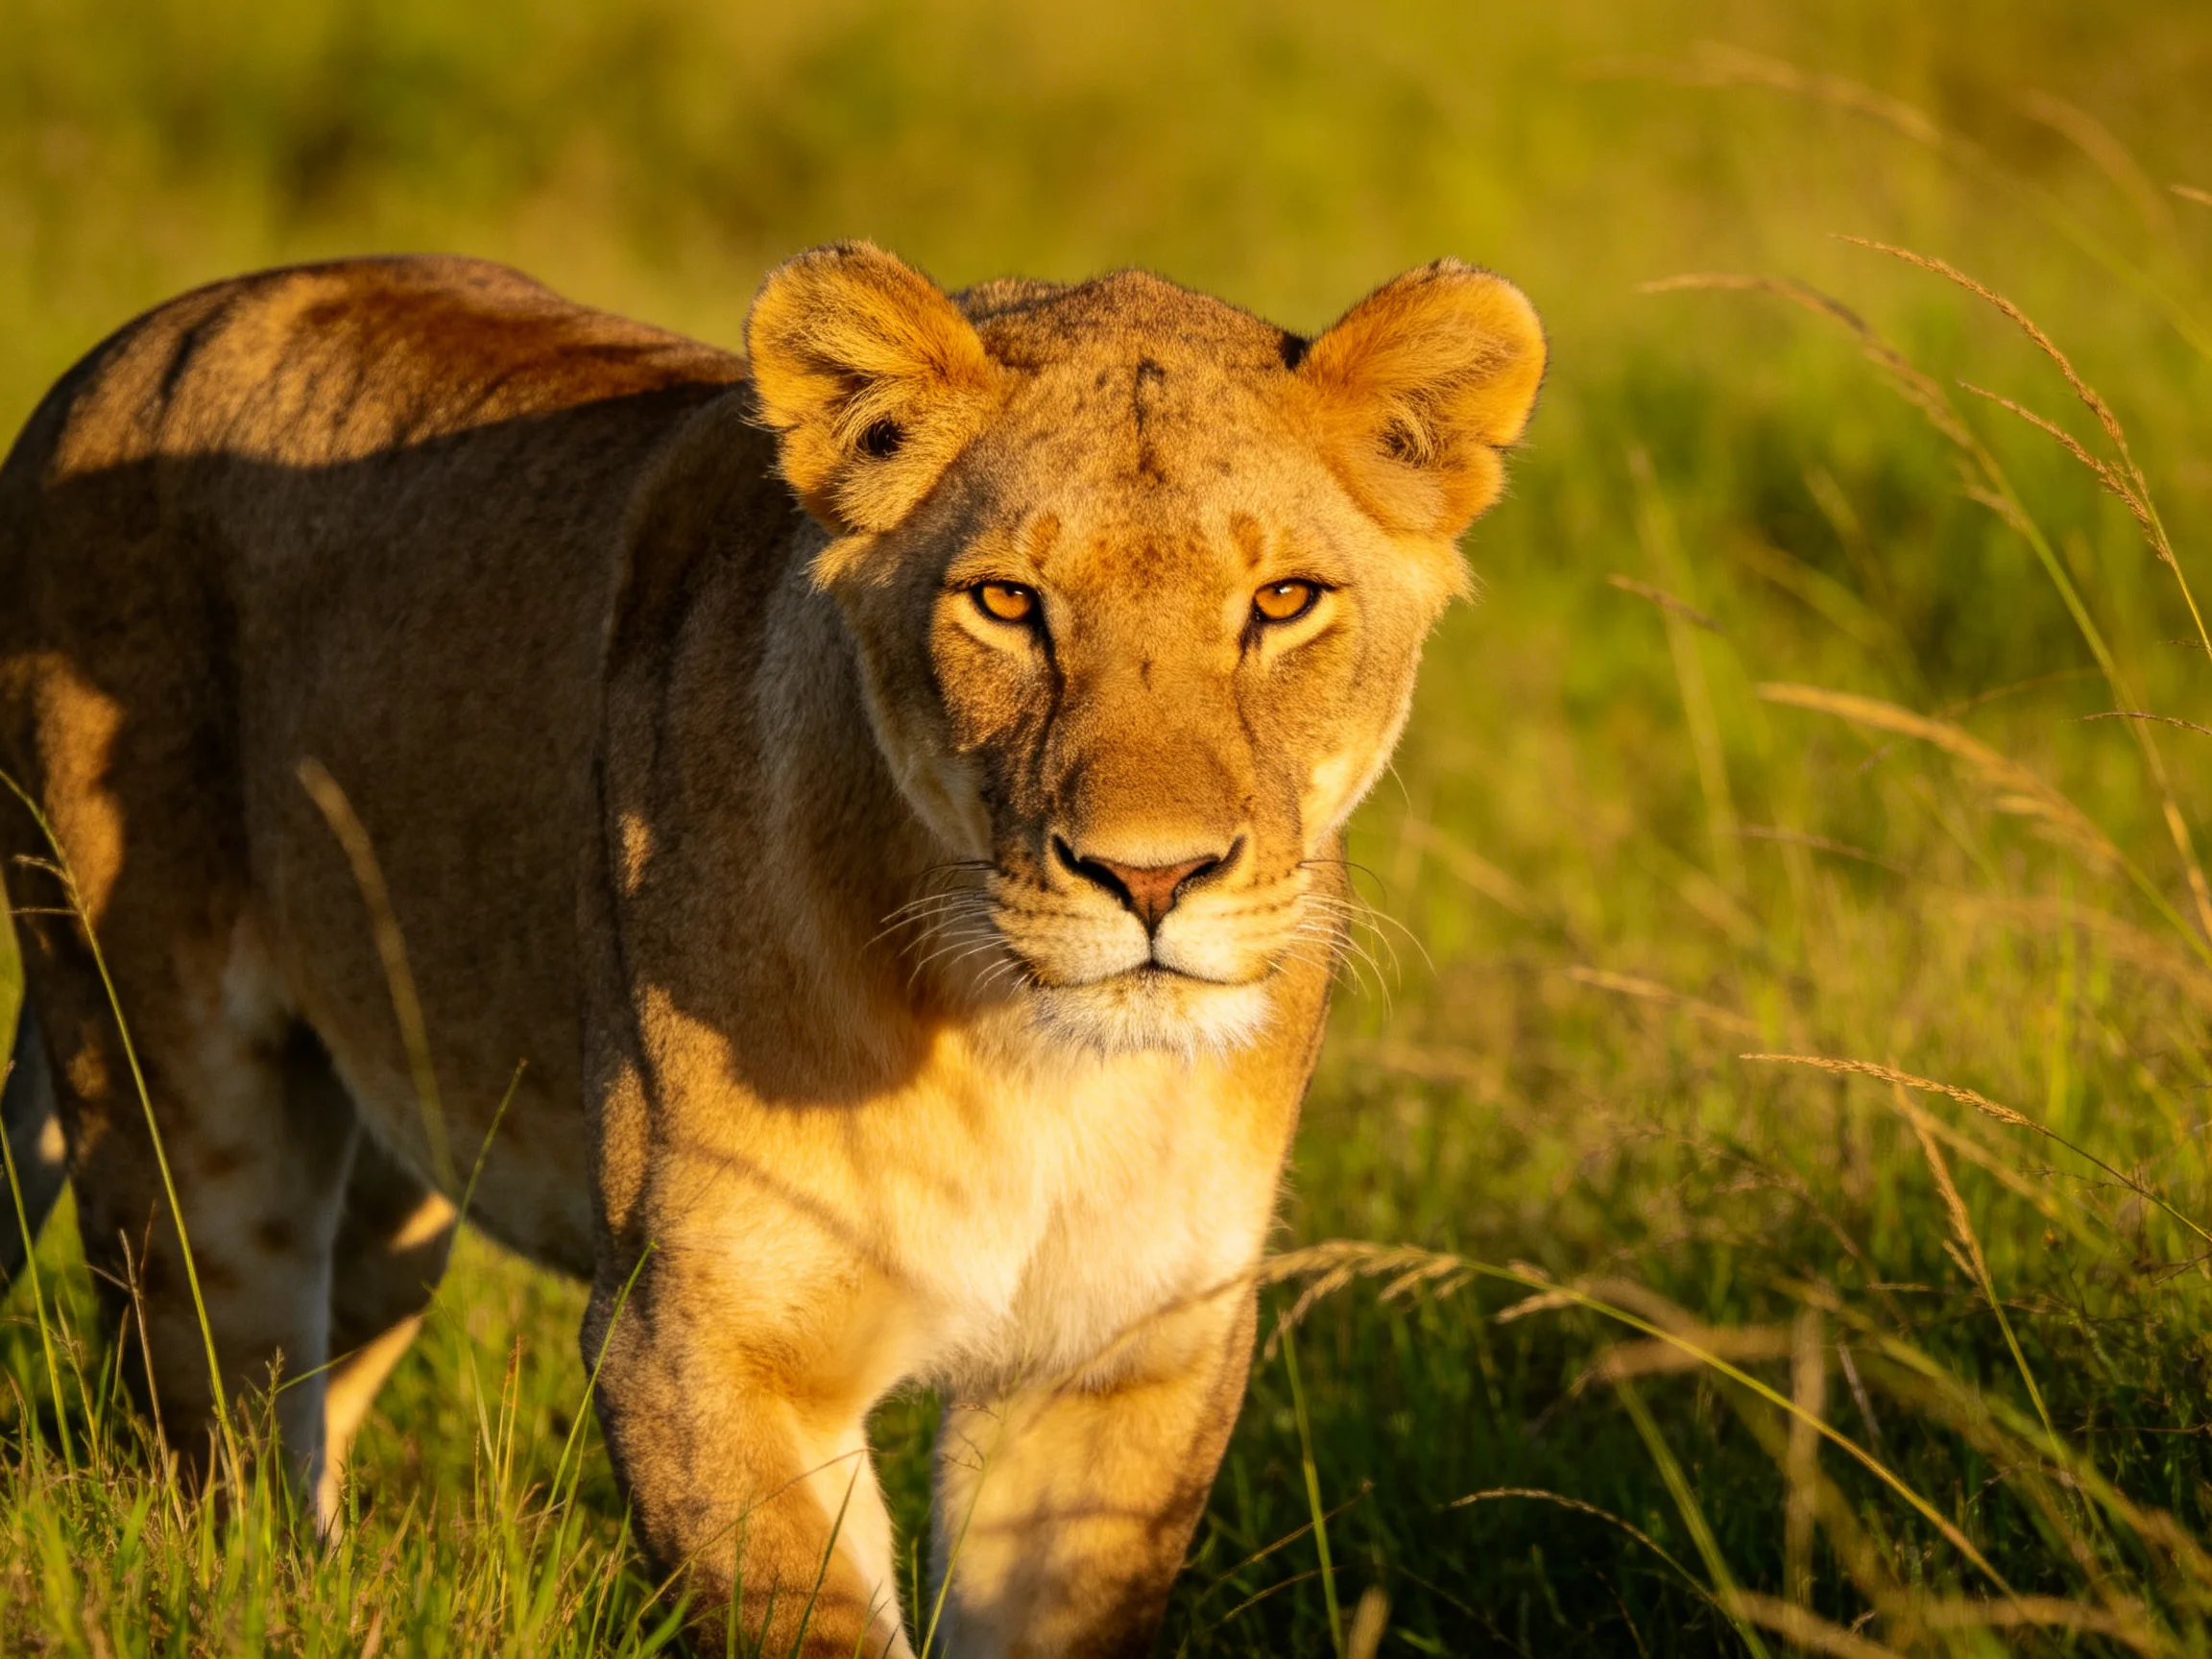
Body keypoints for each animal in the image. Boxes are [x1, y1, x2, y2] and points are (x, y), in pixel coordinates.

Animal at [0, 242, 1543, 1655]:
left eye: (1283, 602)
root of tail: (123, 347)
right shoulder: (700, 1340)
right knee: (215, 1432)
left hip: (395, 1172)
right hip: (172, 1106)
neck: (1031, 1063)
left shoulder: (1121, 1366)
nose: (1149, 875)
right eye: (1007, 603)